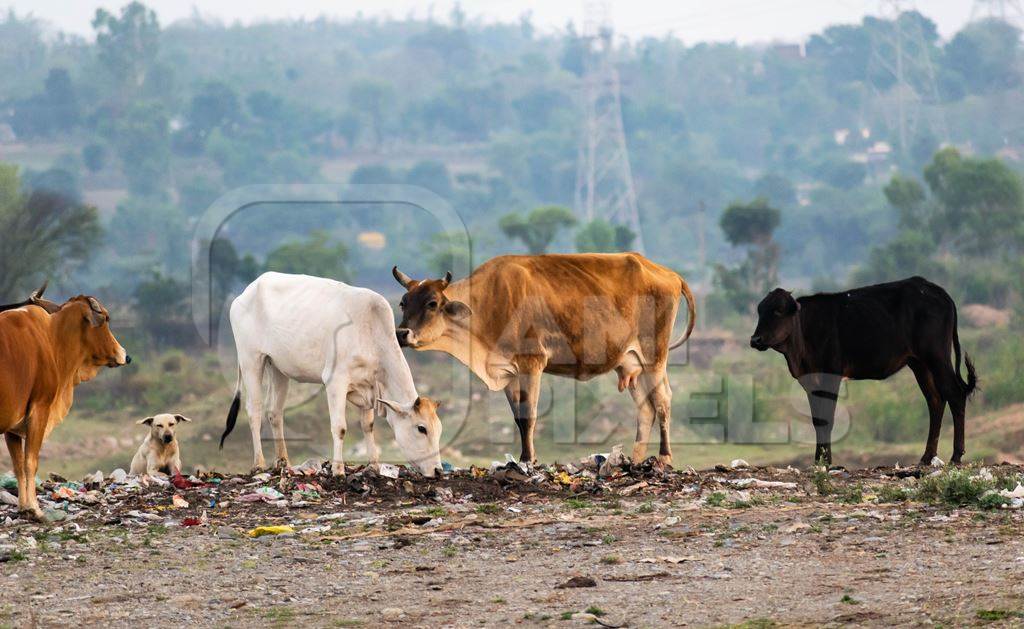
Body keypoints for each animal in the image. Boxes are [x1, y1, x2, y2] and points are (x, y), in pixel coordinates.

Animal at [0, 295, 131, 522]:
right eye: (106, 318)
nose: (125, 355)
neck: (52, 337)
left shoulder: (13, 425)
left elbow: (18, 465)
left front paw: (23, 507)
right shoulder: (39, 409)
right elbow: (30, 462)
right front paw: (34, 508)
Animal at [220, 272, 444, 477]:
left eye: (439, 429)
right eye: (421, 428)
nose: (438, 471)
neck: (370, 332)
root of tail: (246, 292)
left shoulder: (368, 386)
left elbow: (368, 426)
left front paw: (373, 466)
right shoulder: (335, 381)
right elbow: (340, 428)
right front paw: (338, 470)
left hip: (277, 367)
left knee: (275, 412)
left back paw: (284, 462)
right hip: (251, 359)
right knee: (254, 410)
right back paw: (259, 463)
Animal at [391, 254, 696, 465]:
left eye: (432, 303)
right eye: (404, 302)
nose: (402, 333)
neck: (486, 304)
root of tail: (669, 274)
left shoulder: (532, 363)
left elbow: (529, 416)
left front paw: (528, 460)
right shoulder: (508, 372)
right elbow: (517, 418)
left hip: (654, 357)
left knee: (663, 401)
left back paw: (664, 457)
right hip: (632, 364)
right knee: (646, 407)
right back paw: (634, 460)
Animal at [753, 276, 974, 469]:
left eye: (778, 311)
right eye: (760, 311)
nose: (755, 340)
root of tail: (936, 290)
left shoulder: (831, 376)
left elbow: (827, 419)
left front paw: (826, 461)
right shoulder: (810, 381)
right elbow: (817, 421)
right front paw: (818, 461)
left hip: (936, 357)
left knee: (954, 394)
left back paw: (956, 456)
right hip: (919, 363)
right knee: (935, 400)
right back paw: (927, 457)